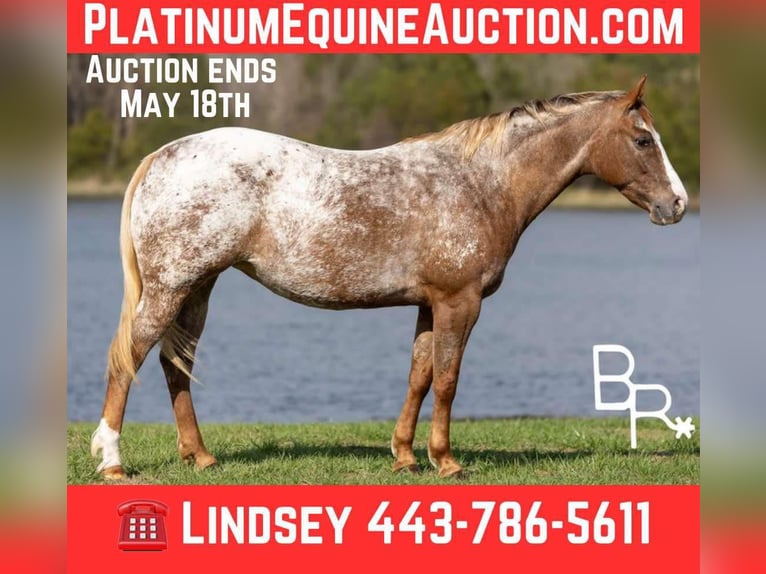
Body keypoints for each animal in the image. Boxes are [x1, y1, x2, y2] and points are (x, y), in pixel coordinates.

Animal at [91, 76, 688, 480]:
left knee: (176, 365)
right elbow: (447, 379)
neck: (482, 182)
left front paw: (404, 456)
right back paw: (112, 460)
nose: (678, 204)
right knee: (128, 359)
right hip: (171, 287)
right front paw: (446, 460)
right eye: (643, 140)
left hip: (198, 288)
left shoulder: (430, 304)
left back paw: (200, 456)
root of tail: (163, 156)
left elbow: (419, 376)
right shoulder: (460, 302)